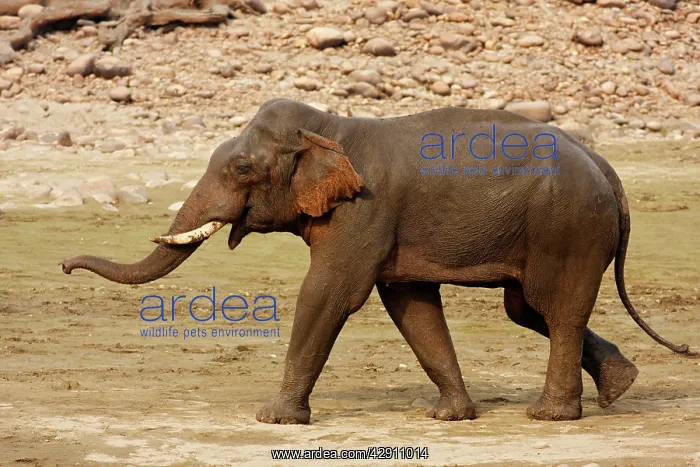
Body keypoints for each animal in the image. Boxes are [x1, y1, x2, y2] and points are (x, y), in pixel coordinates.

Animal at [60, 98, 696, 424]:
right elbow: (410, 305)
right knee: (526, 310)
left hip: (567, 228)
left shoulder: (366, 211)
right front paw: (451, 418)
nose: (65, 265)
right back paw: (620, 387)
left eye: (242, 169)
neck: (329, 129)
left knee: (552, 307)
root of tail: (607, 168)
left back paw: (551, 417)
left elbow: (328, 293)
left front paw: (273, 420)